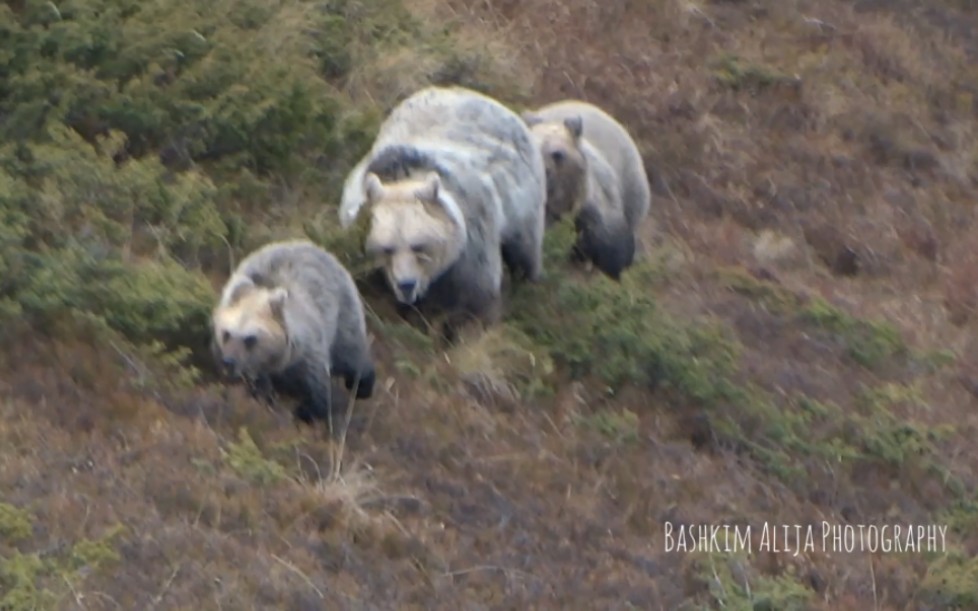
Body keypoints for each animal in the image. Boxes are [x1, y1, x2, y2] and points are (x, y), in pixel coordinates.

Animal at [212, 239, 376, 426]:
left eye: (250, 339)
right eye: (226, 333)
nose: (228, 362)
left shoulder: (307, 347)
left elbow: (316, 381)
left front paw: (309, 410)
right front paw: (263, 394)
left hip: (342, 314)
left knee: (350, 353)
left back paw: (362, 384)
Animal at [340, 85, 544, 338]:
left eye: (418, 245)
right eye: (386, 248)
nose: (406, 285)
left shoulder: (470, 250)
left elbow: (477, 300)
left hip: (524, 203)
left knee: (525, 252)